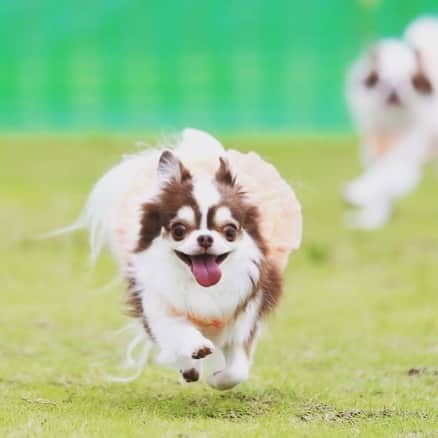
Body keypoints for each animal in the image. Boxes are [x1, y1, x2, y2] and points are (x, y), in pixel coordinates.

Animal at [65, 128, 302, 388]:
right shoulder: (157, 306)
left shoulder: (243, 320)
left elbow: (237, 371)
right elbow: (177, 332)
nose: (205, 238)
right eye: (179, 230)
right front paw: (194, 350)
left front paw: (216, 379)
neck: (202, 287)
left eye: (229, 231)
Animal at [344, 16, 436, 229]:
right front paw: (370, 219)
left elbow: (386, 176)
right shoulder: (377, 149)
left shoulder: (406, 154)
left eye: (411, 81)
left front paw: (361, 192)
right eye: (381, 81)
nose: (394, 89)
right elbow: (380, 183)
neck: (394, 121)